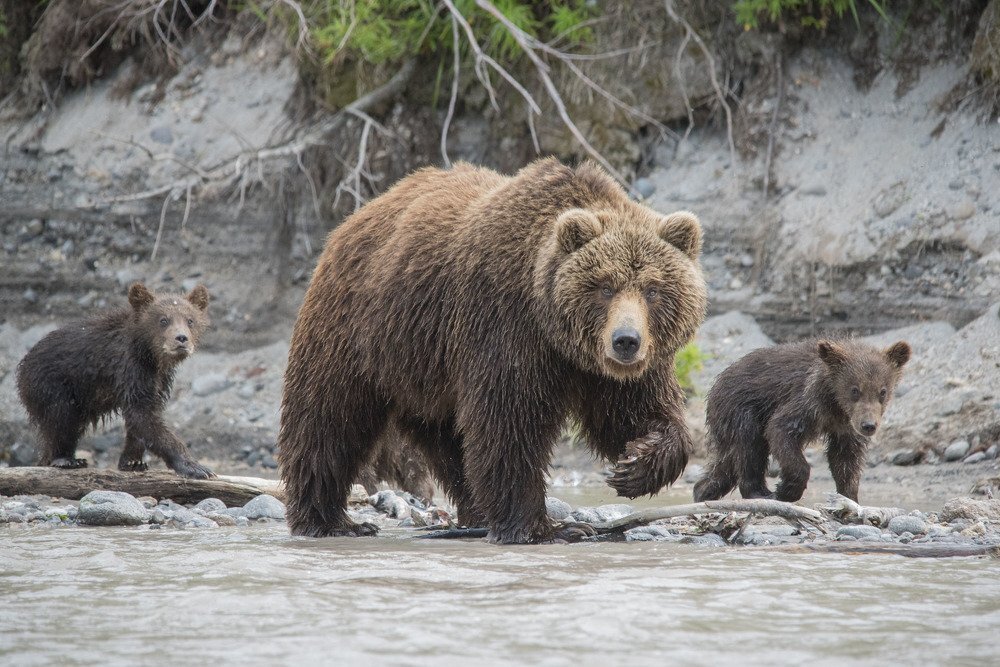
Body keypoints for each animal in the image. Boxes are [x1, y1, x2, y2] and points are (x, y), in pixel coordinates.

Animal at [278, 159, 708, 544]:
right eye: (604, 286)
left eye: (652, 289)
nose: (626, 341)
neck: (556, 334)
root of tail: (355, 217)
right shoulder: (504, 325)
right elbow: (508, 424)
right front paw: (547, 529)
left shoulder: (615, 367)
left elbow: (634, 411)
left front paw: (636, 462)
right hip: (359, 331)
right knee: (329, 418)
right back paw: (330, 520)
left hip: (427, 368)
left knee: (450, 440)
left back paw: (475, 512)